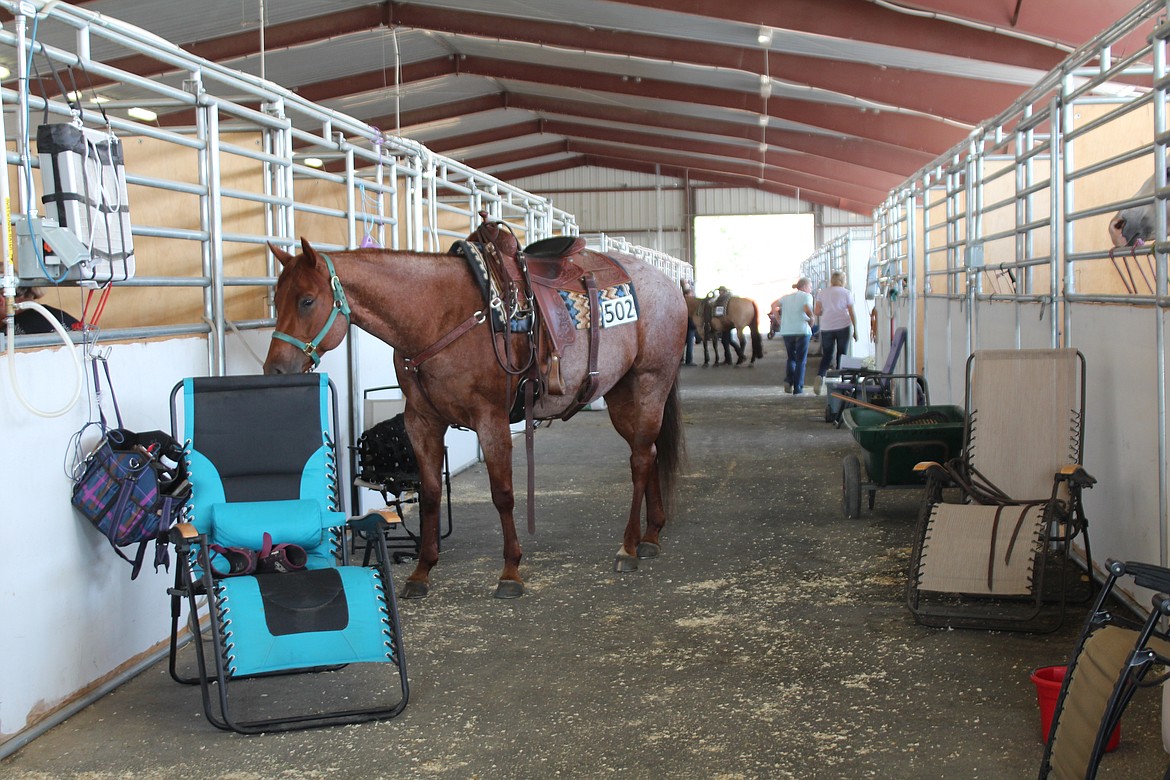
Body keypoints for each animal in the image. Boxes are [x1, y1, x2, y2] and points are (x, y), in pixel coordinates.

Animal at [260, 238, 687, 598]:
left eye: (307, 301)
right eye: (276, 299)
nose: (275, 370)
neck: (439, 316)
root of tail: (670, 284)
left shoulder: (490, 419)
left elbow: (503, 494)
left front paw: (510, 572)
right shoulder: (422, 422)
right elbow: (431, 493)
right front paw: (422, 572)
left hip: (650, 383)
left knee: (639, 461)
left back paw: (629, 547)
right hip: (621, 393)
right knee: (648, 454)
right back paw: (651, 536)